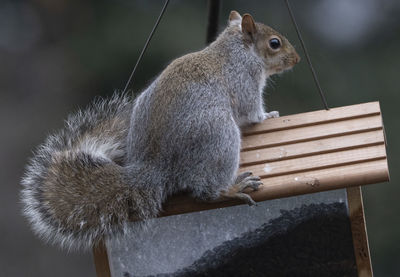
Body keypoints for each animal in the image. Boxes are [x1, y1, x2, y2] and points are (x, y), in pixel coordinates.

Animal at [20, 10, 298, 249]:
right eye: (274, 43)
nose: (296, 59)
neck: (234, 47)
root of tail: (154, 168)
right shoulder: (244, 80)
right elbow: (252, 112)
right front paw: (269, 115)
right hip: (219, 137)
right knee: (205, 191)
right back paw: (232, 189)